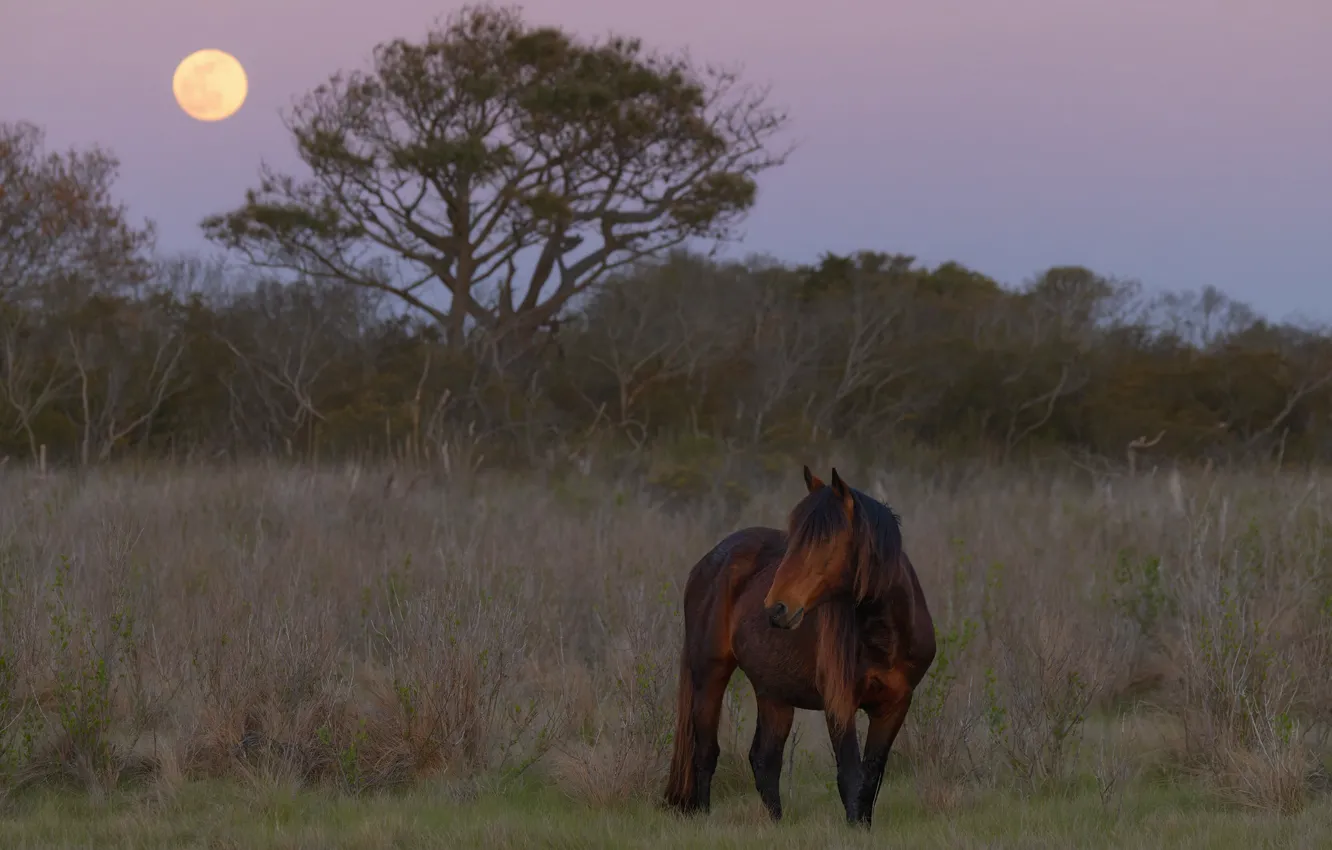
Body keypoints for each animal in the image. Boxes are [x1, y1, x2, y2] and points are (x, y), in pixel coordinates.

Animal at [663, 466, 936, 827]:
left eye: (826, 540)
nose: (776, 608)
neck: (884, 635)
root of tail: (708, 563)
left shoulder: (895, 705)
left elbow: (871, 777)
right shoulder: (839, 703)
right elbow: (851, 776)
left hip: (774, 693)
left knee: (764, 760)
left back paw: (776, 824)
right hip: (709, 675)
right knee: (705, 752)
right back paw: (706, 817)